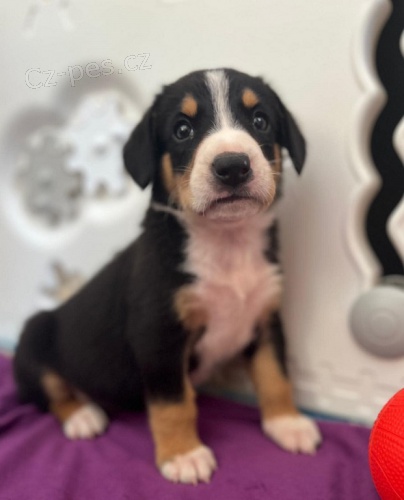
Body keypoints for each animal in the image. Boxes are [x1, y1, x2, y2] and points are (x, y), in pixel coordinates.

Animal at [14, 68, 321, 485]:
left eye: (260, 121)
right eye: (182, 130)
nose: (232, 166)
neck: (227, 245)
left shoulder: (266, 318)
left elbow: (275, 375)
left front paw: (287, 423)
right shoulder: (158, 335)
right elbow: (174, 403)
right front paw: (183, 454)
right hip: (35, 335)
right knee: (50, 393)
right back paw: (82, 416)